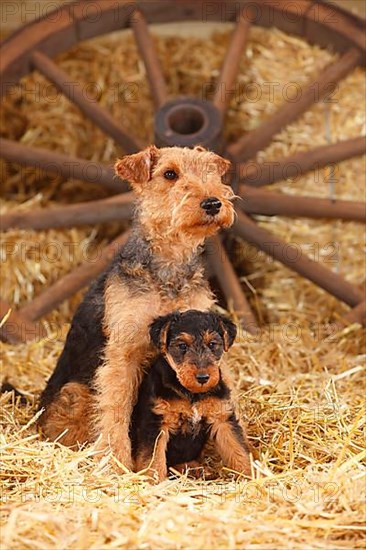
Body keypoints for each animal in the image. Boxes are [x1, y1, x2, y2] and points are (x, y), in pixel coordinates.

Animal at [39, 143, 234, 470]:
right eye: (170, 174)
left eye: (211, 171)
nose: (212, 203)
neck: (169, 267)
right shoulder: (124, 353)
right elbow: (116, 409)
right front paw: (116, 464)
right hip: (74, 392)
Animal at [132, 310, 252, 484]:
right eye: (182, 346)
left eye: (212, 344)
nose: (203, 378)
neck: (193, 394)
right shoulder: (156, 424)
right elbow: (153, 461)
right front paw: (155, 484)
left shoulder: (223, 419)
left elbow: (238, 450)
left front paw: (253, 476)